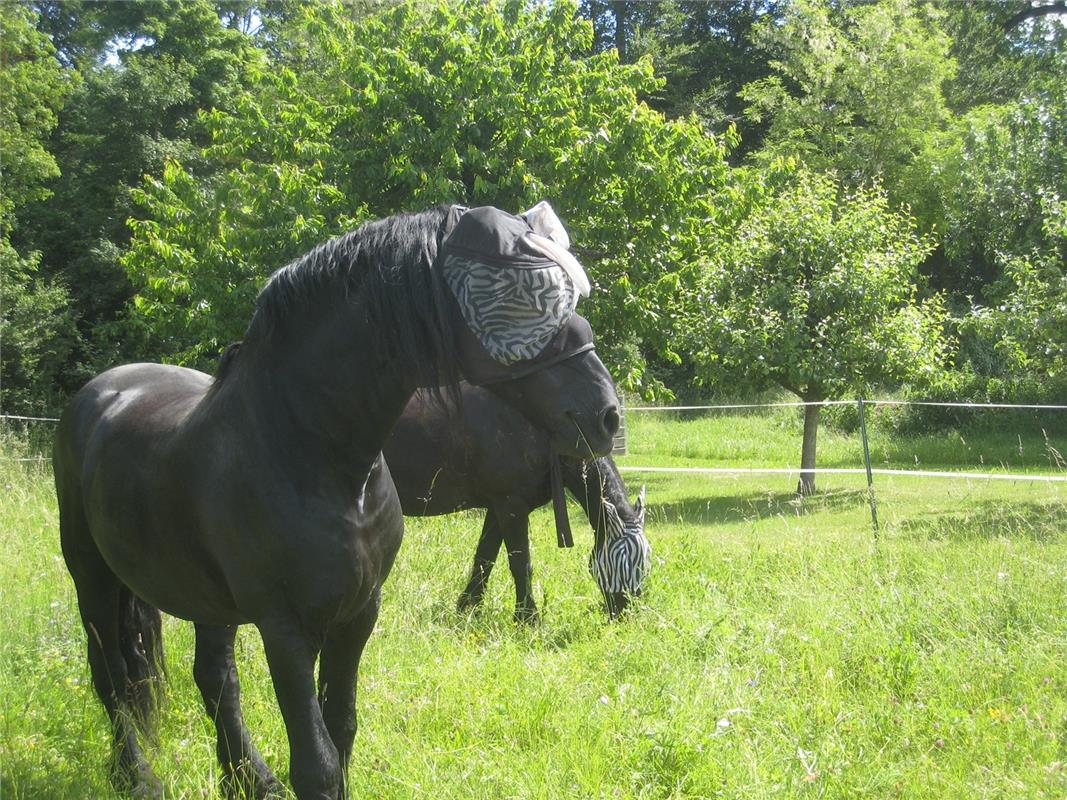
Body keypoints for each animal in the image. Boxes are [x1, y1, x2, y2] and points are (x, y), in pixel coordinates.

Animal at [384, 386, 648, 622]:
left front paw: (468, 608)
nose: (627, 614)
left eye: (645, 563)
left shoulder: (497, 508)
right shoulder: (511, 506)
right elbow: (521, 564)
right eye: (623, 561)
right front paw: (527, 618)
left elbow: (485, 559)